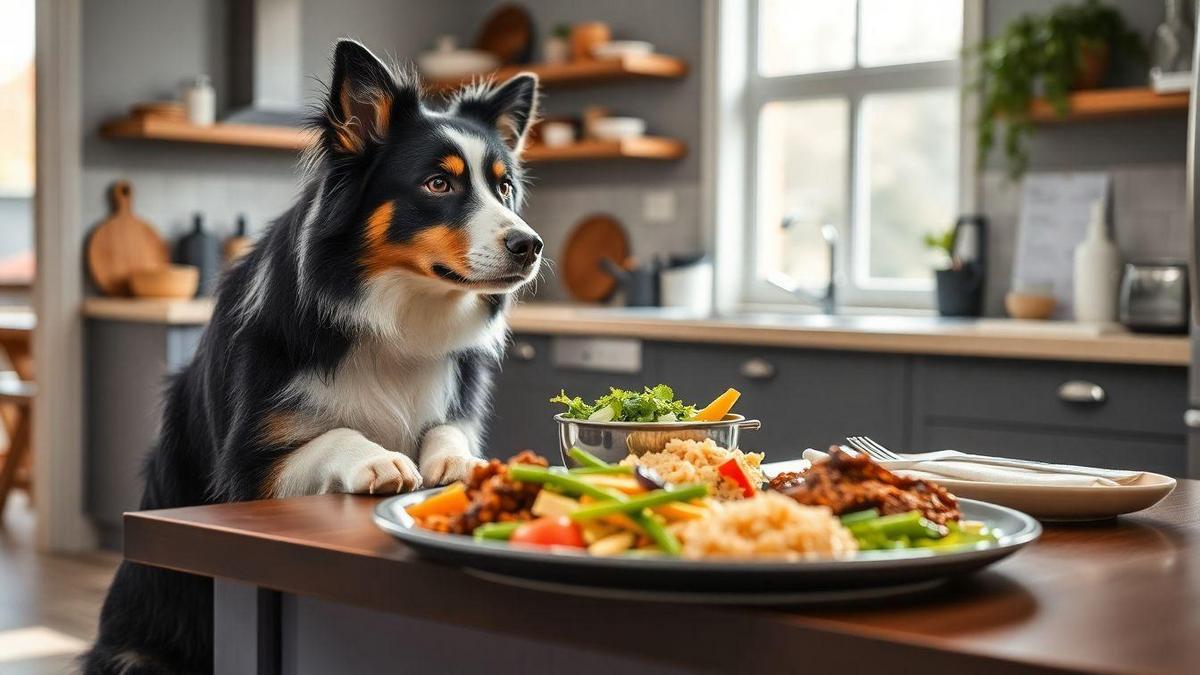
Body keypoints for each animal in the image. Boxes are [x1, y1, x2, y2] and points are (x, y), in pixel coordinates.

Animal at [87, 39, 544, 667]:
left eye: (503, 188)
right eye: (438, 185)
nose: (531, 245)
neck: (390, 320)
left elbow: (446, 429)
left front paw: (461, 463)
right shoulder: (248, 472)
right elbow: (335, 433)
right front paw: (379, 460)